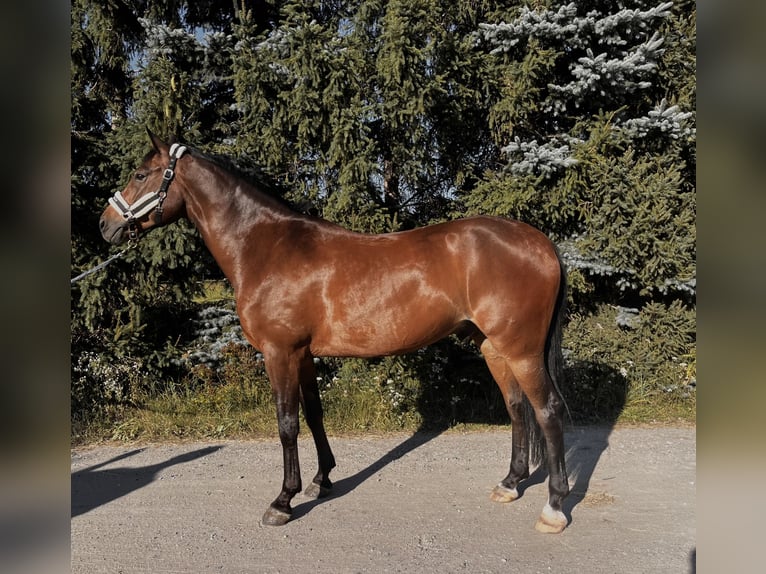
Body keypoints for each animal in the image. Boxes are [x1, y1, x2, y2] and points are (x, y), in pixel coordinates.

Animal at [100, 132, 568, 536]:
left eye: (140, 174)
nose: (105, 225)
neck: (264, 246)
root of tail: (541, 243)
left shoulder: (280, 352)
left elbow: (287, 423)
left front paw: (283, 501)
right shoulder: (304, 354)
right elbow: (313, 415)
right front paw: (322, 480)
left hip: (521, 350)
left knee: (546, 411)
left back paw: (554, 507)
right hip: (493, 347)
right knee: (517, 407)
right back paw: (509, 484)